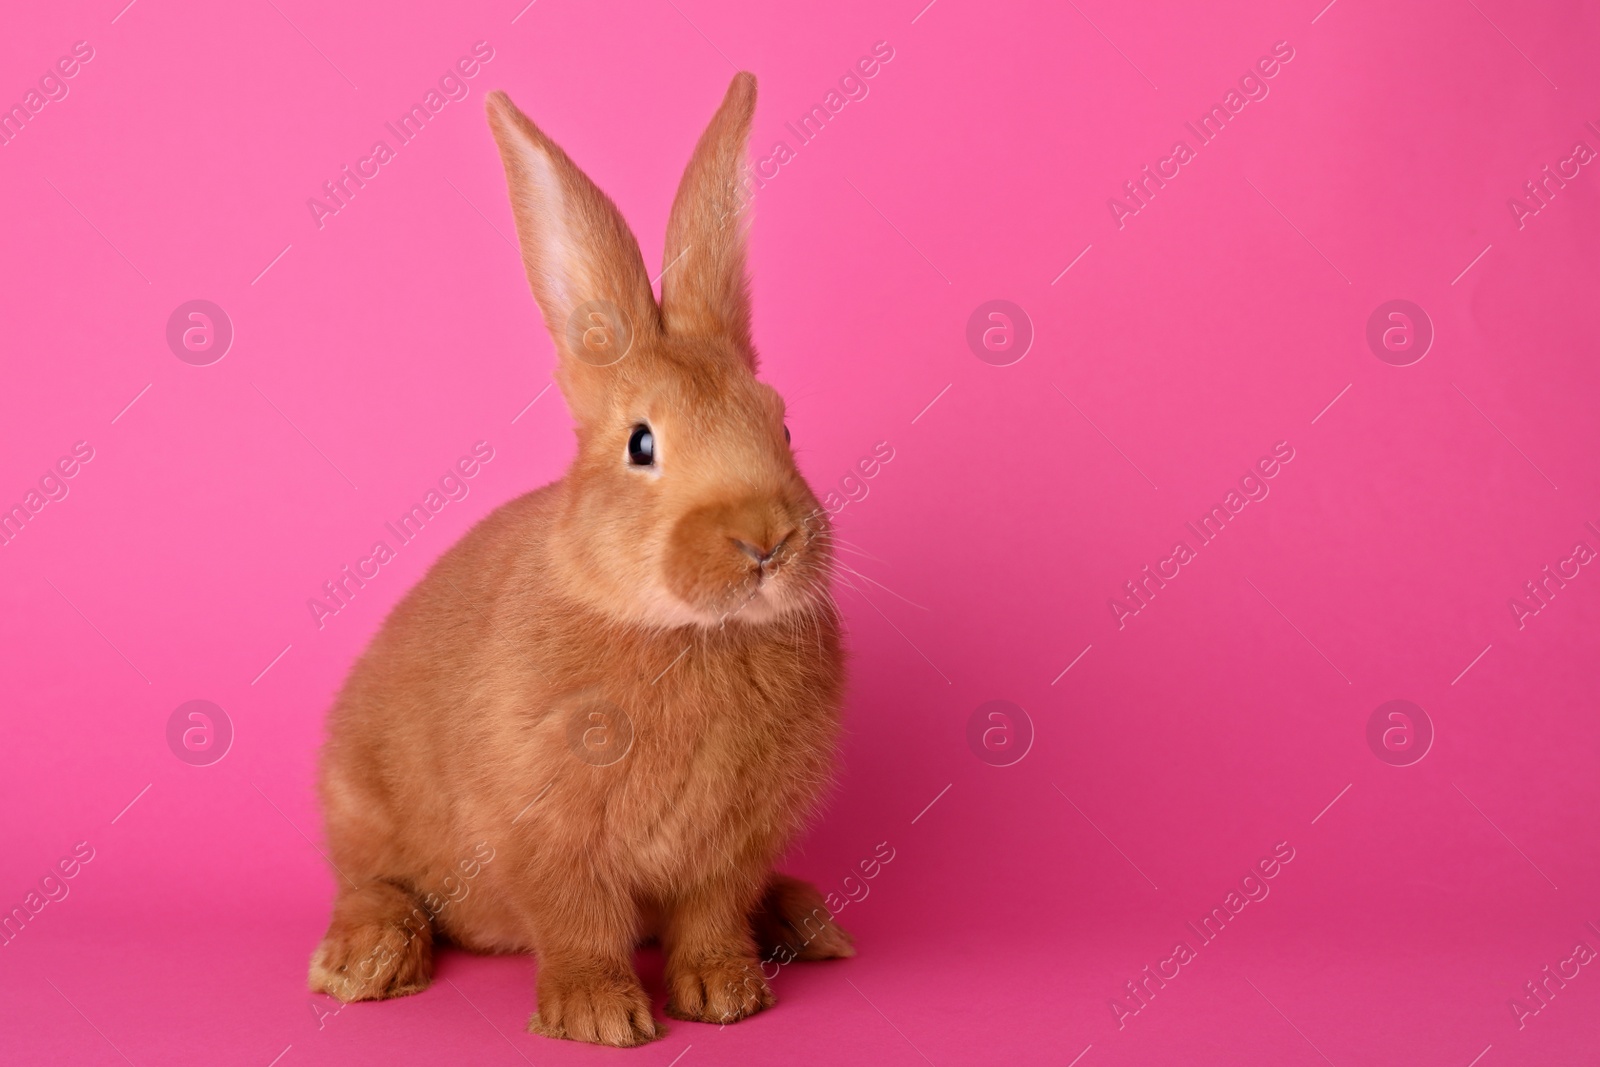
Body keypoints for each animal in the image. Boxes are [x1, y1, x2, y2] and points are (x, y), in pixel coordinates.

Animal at [302, 70, 851, 1049]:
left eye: (782, 425)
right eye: (641, 444)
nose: (767, 540)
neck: (683, 629)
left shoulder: (728, 851)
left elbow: (711, 916)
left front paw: (726, 995)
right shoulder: (546, 835)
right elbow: (579, 922)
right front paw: (600, 1017)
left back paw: (803, 921)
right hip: (359, 795)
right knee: (375, 879)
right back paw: (362, 962)